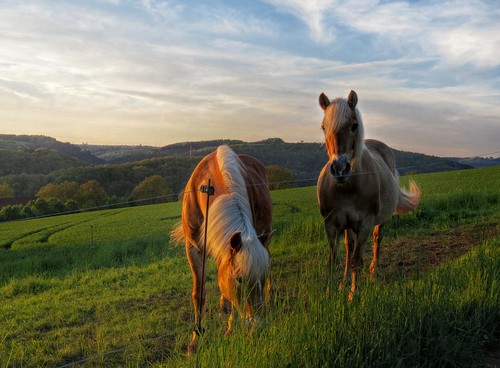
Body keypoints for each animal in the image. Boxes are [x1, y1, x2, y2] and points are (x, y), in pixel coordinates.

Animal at [172, 144, 274, 354]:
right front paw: (195, 340)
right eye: (239, 279)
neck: (208, 190)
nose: (258, 327)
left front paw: (230, 328)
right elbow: (199, 293)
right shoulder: (194, 249)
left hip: (265, 233)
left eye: (262, 277)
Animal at [318, 90, 420, 300]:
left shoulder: (364, 223)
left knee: (376, 238)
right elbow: (335, 260)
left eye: (354, 126)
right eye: (324, 127)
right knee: (349, 246)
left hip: (380, 221)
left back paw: (373, 271)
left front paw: (353, 294)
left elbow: (356, 260)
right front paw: (332, 292)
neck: (346, 187)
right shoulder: (331, 224)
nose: (340, 169)